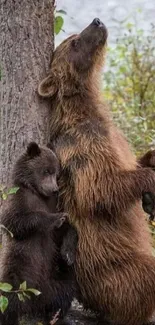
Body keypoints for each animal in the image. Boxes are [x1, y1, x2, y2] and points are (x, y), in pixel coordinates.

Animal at [0, 143, 77, 324]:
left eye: (57, 173)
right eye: (46, 171)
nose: (55, 189)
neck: (37, 192)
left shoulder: (54, 203)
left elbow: (67, 229)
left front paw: (68, 253)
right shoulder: (17, 197)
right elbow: (15, 220)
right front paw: (56, 219)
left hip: (54, 278)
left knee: (64, 293)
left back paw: (55, 316)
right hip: (17, 269)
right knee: (8, 297)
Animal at [38, 19, 155, 324]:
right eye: (75, 42)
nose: (97, 22)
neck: (86, 109)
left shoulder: (114, 138)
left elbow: (133, 162)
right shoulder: (82, 147)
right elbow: (100, 189)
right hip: (111, 268)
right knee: (144, 275)